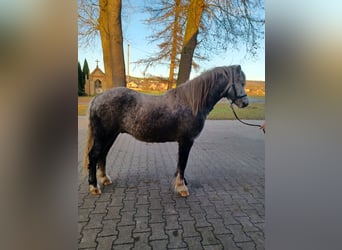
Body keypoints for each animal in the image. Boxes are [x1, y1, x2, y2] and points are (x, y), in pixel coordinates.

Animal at [83, 65, 248, 197]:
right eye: (240, 82)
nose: (245, 103)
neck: (191, 103)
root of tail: (97, 98)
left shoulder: (183, 142)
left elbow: (180, 164)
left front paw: (181, 183)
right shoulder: (186, 141)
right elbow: (183, 163)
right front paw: (182, 188)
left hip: (111, 136)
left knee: (103, 155)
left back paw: (105, 179)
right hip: (103, 136)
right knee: (94, 156)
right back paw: (94, 187)